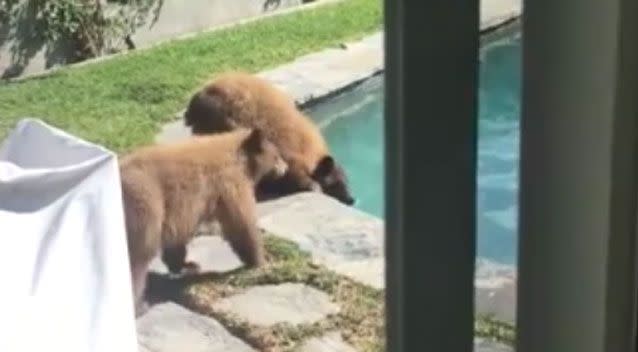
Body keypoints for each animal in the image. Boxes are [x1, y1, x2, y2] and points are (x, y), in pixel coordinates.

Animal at [119, 128, 288, 314]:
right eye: (277, 155)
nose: (286, 167)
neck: (241, 160)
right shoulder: (229, 183)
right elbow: (241, 222)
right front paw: (261, 259)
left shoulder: (177, 213)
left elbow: (177, 239)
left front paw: (187, 265)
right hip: (145, 204)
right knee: (139, 255)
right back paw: (140, 305)